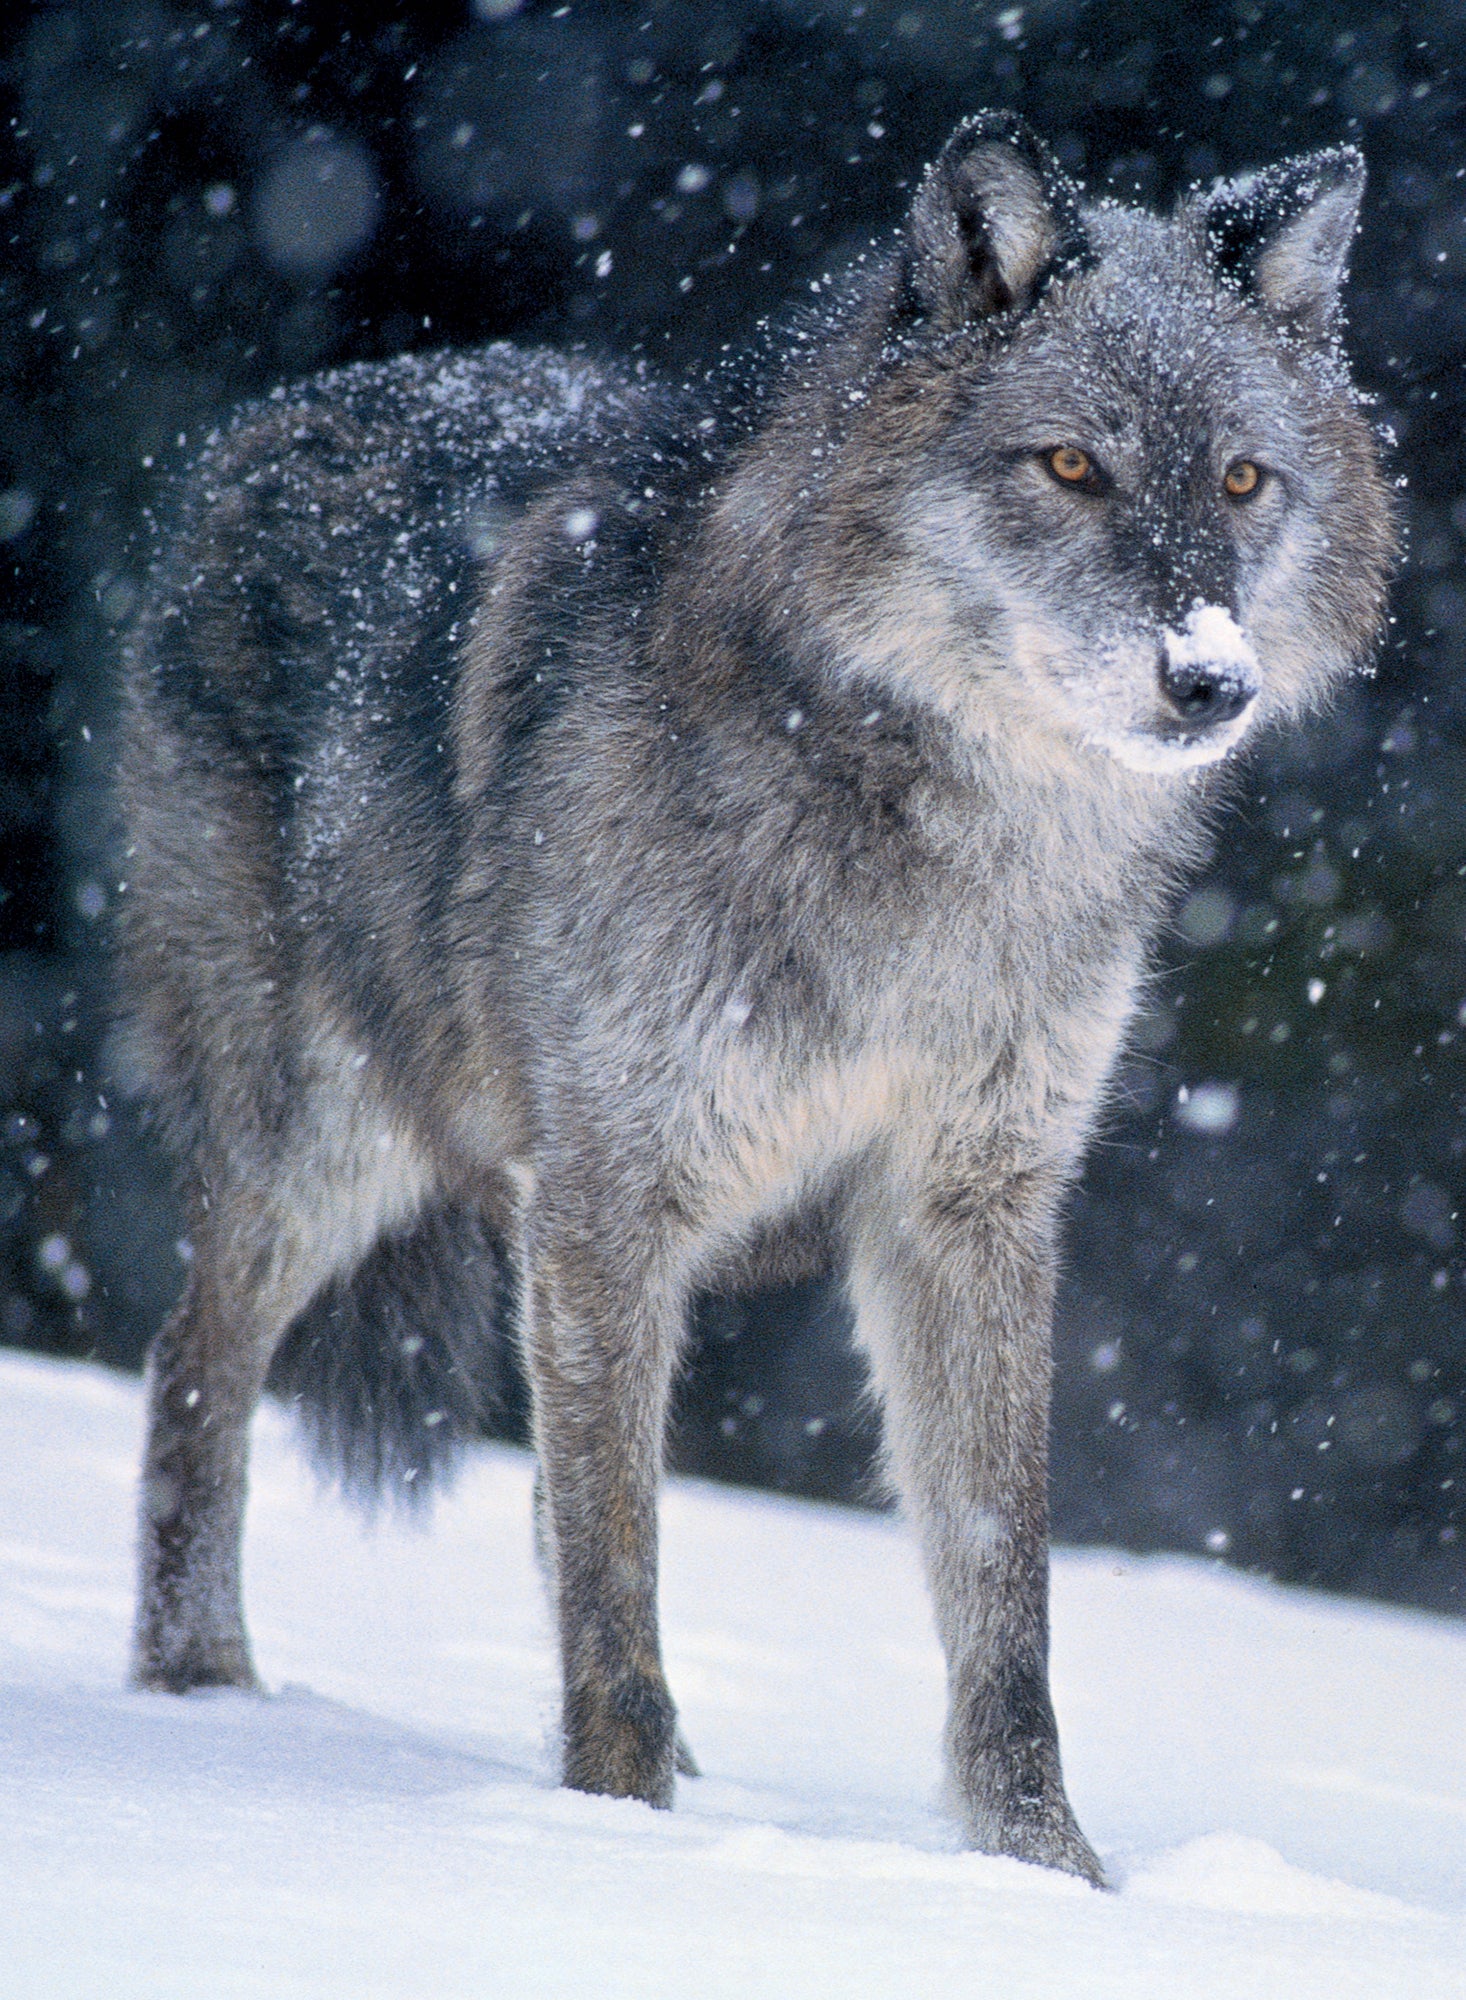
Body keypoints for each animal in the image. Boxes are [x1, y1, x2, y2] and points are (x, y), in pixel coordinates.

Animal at [117, 112, 1394, 1884]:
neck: (937, 843)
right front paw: (614, 1838)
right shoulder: (614, 1185)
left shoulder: (967, 1206)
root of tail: (251, 433)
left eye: (1241, 480)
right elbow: (618, 1570)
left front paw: (1047, 1876)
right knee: (195, 1366)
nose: (1208, 679)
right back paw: (206, 1698)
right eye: (1071, 467)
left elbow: (1000, 1590)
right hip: (333, 1149)